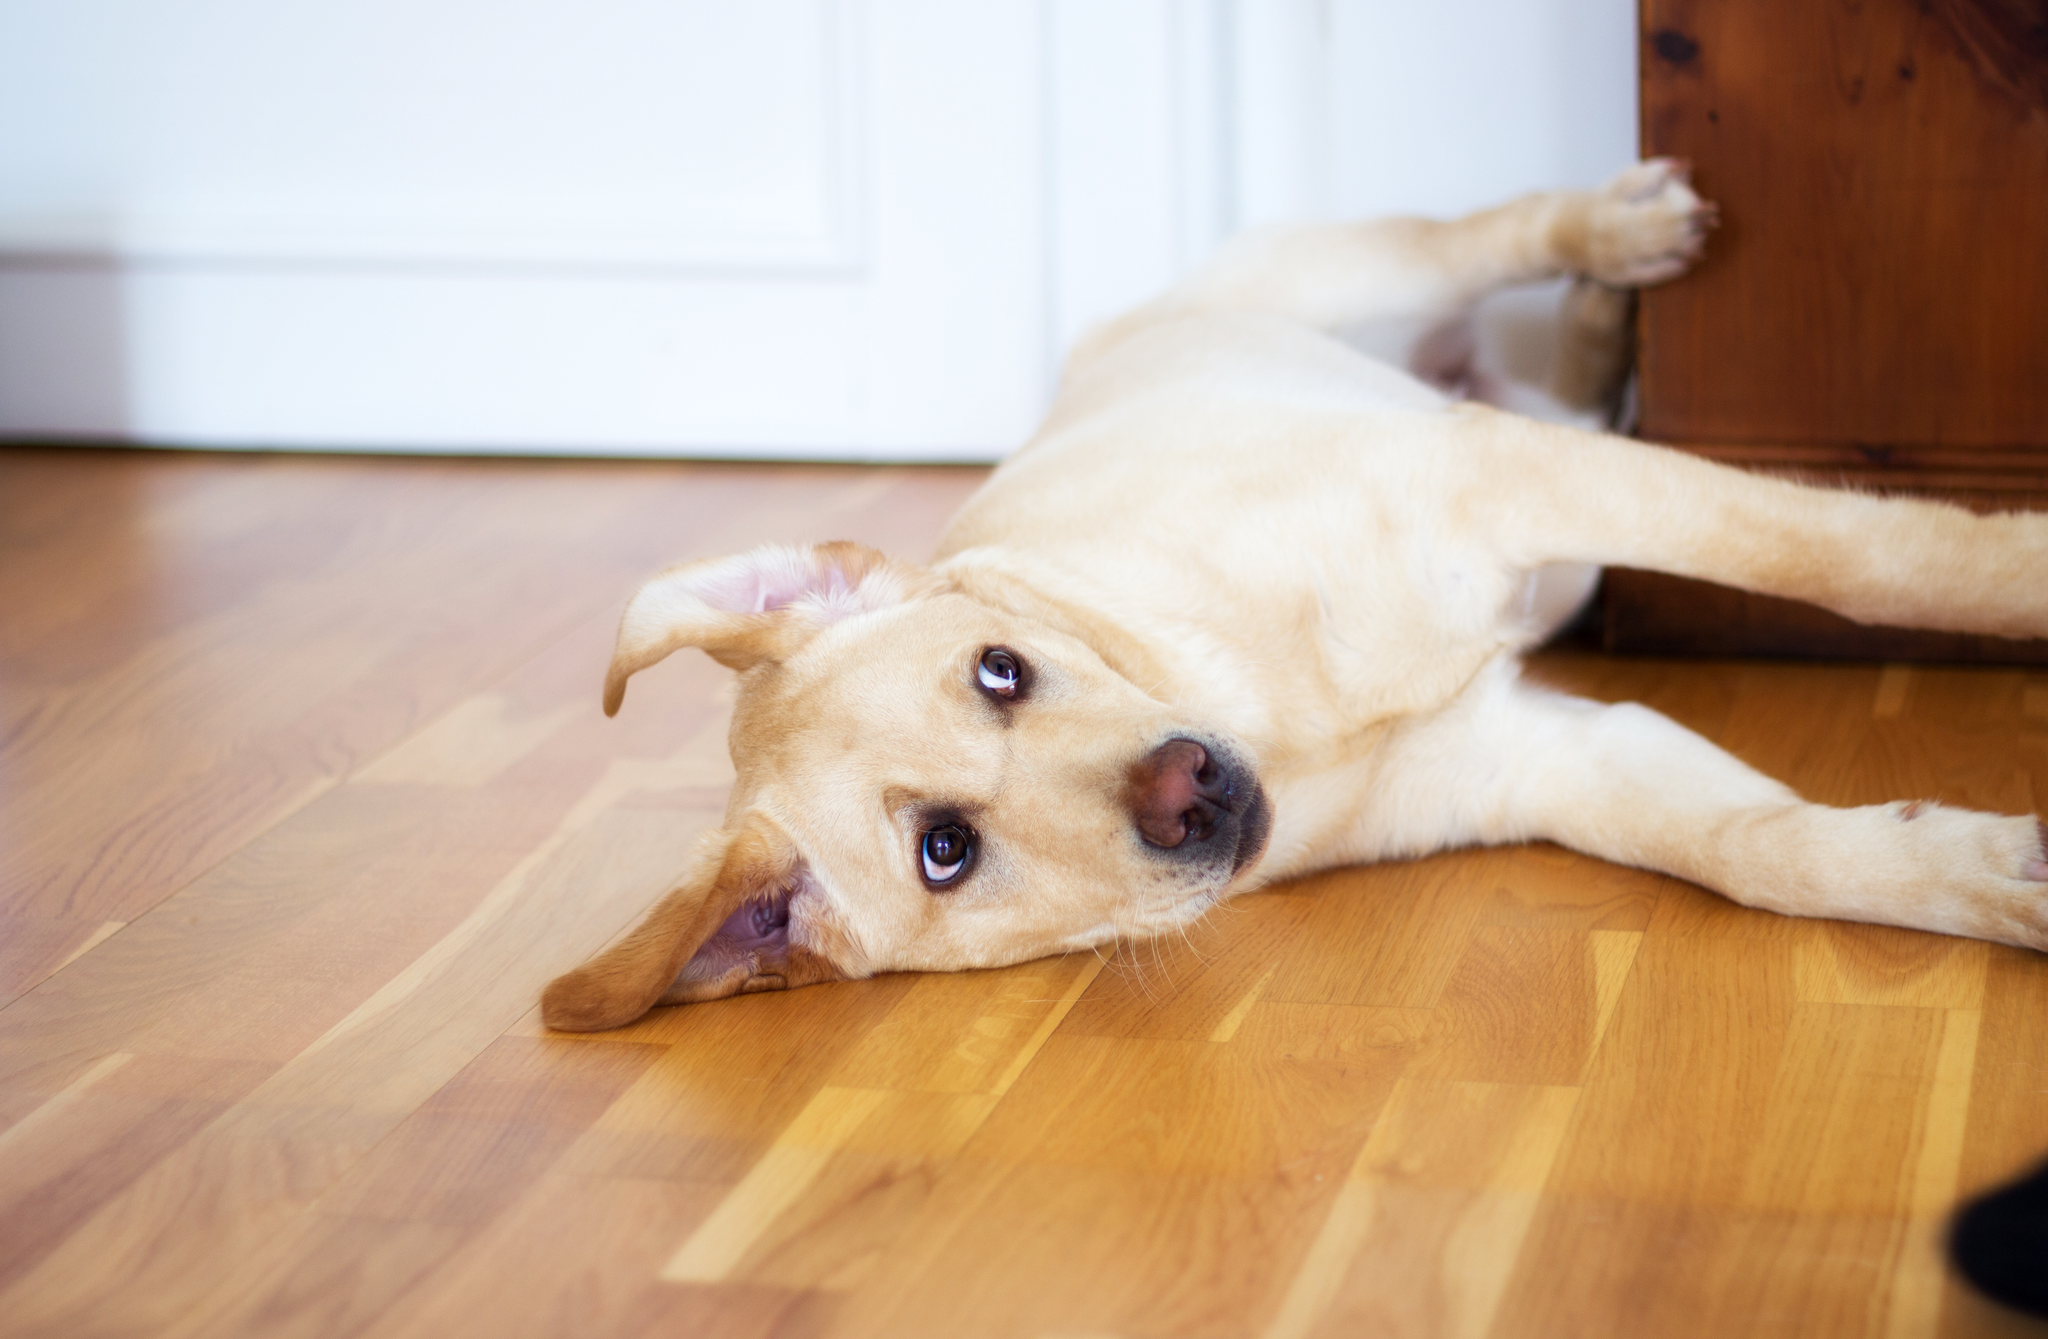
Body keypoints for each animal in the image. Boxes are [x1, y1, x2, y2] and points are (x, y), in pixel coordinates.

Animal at [540, 159, 2048, 1040]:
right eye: (946, 852)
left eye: (1000, 668)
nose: (1188, 790)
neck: (1252, 690)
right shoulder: (1550, 752)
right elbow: (1761, 848)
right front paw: (1986, 874)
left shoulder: (1515, 478)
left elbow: (1864, 562)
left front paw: (2016, 569)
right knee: (1565, 370)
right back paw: (1605, 308)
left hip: (1364, 285)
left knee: (1472, 238)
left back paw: (1609, 235)